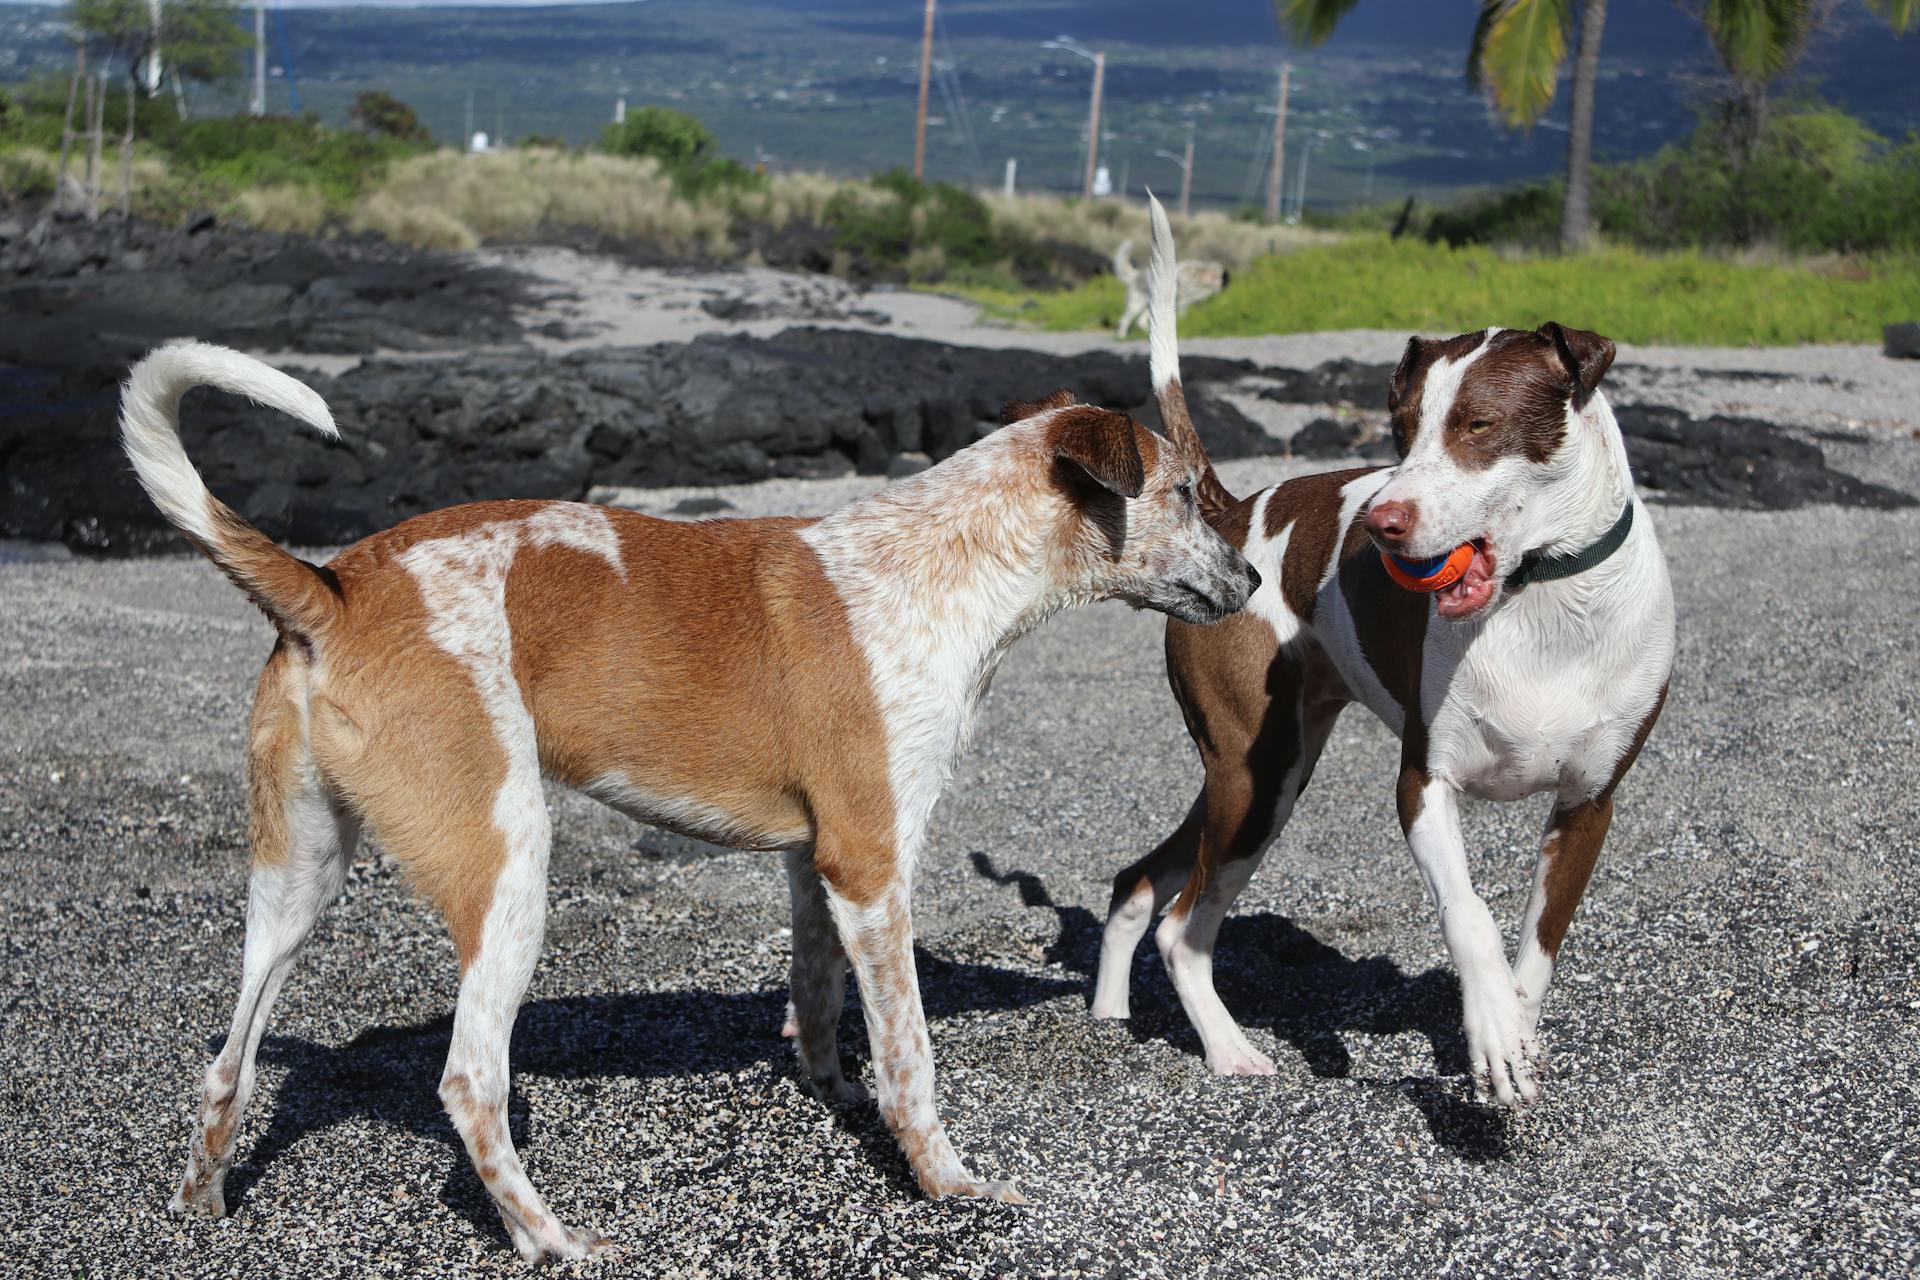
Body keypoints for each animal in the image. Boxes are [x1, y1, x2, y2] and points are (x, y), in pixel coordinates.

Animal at [123, 339, 1259, 1258]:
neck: (944, 559)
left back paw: (200, 1199)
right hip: (506, 867)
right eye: (1188, 493)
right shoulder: (874, 862)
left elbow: (817, 1000)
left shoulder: (817, 863)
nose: (1254, 581)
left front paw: (829, 1094)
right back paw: (548, 1236)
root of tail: (335, 588)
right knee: (469, 1081)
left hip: (296, 881)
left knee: (228, 1063)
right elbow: (912, 1056)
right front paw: (946, 1181)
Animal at [1098, 197, 1681, 1113]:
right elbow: (1470, 914)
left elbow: (1537, 950)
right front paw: (1490, 1031)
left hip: (1251, 776)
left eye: (1479, 425)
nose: (1380, 523)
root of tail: (1232, 513)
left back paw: (1109, 1017)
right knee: (1182, 929)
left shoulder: (1588, 808)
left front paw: (1513, 1029)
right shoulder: (1424, 786)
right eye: (1401, 430)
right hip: (1257, 781)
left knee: (1140, 885)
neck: (1543, 601)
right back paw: (1228, 1049)